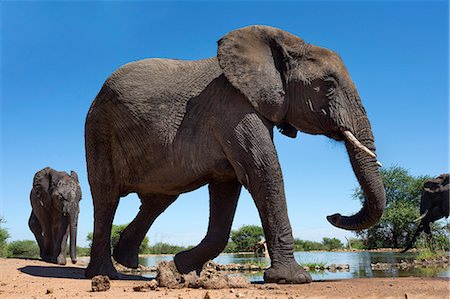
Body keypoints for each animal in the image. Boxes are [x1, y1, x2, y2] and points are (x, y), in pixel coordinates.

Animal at [85, 25, 386, 284]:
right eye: (328, 84)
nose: (332, 215)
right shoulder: (232, 108)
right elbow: (263, 172)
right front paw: (293, 279)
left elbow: (228, 186)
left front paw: (183, 266)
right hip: (99, 129)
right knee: (106, 198)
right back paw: (104, 274)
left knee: (158, 201)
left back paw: (127, 261)